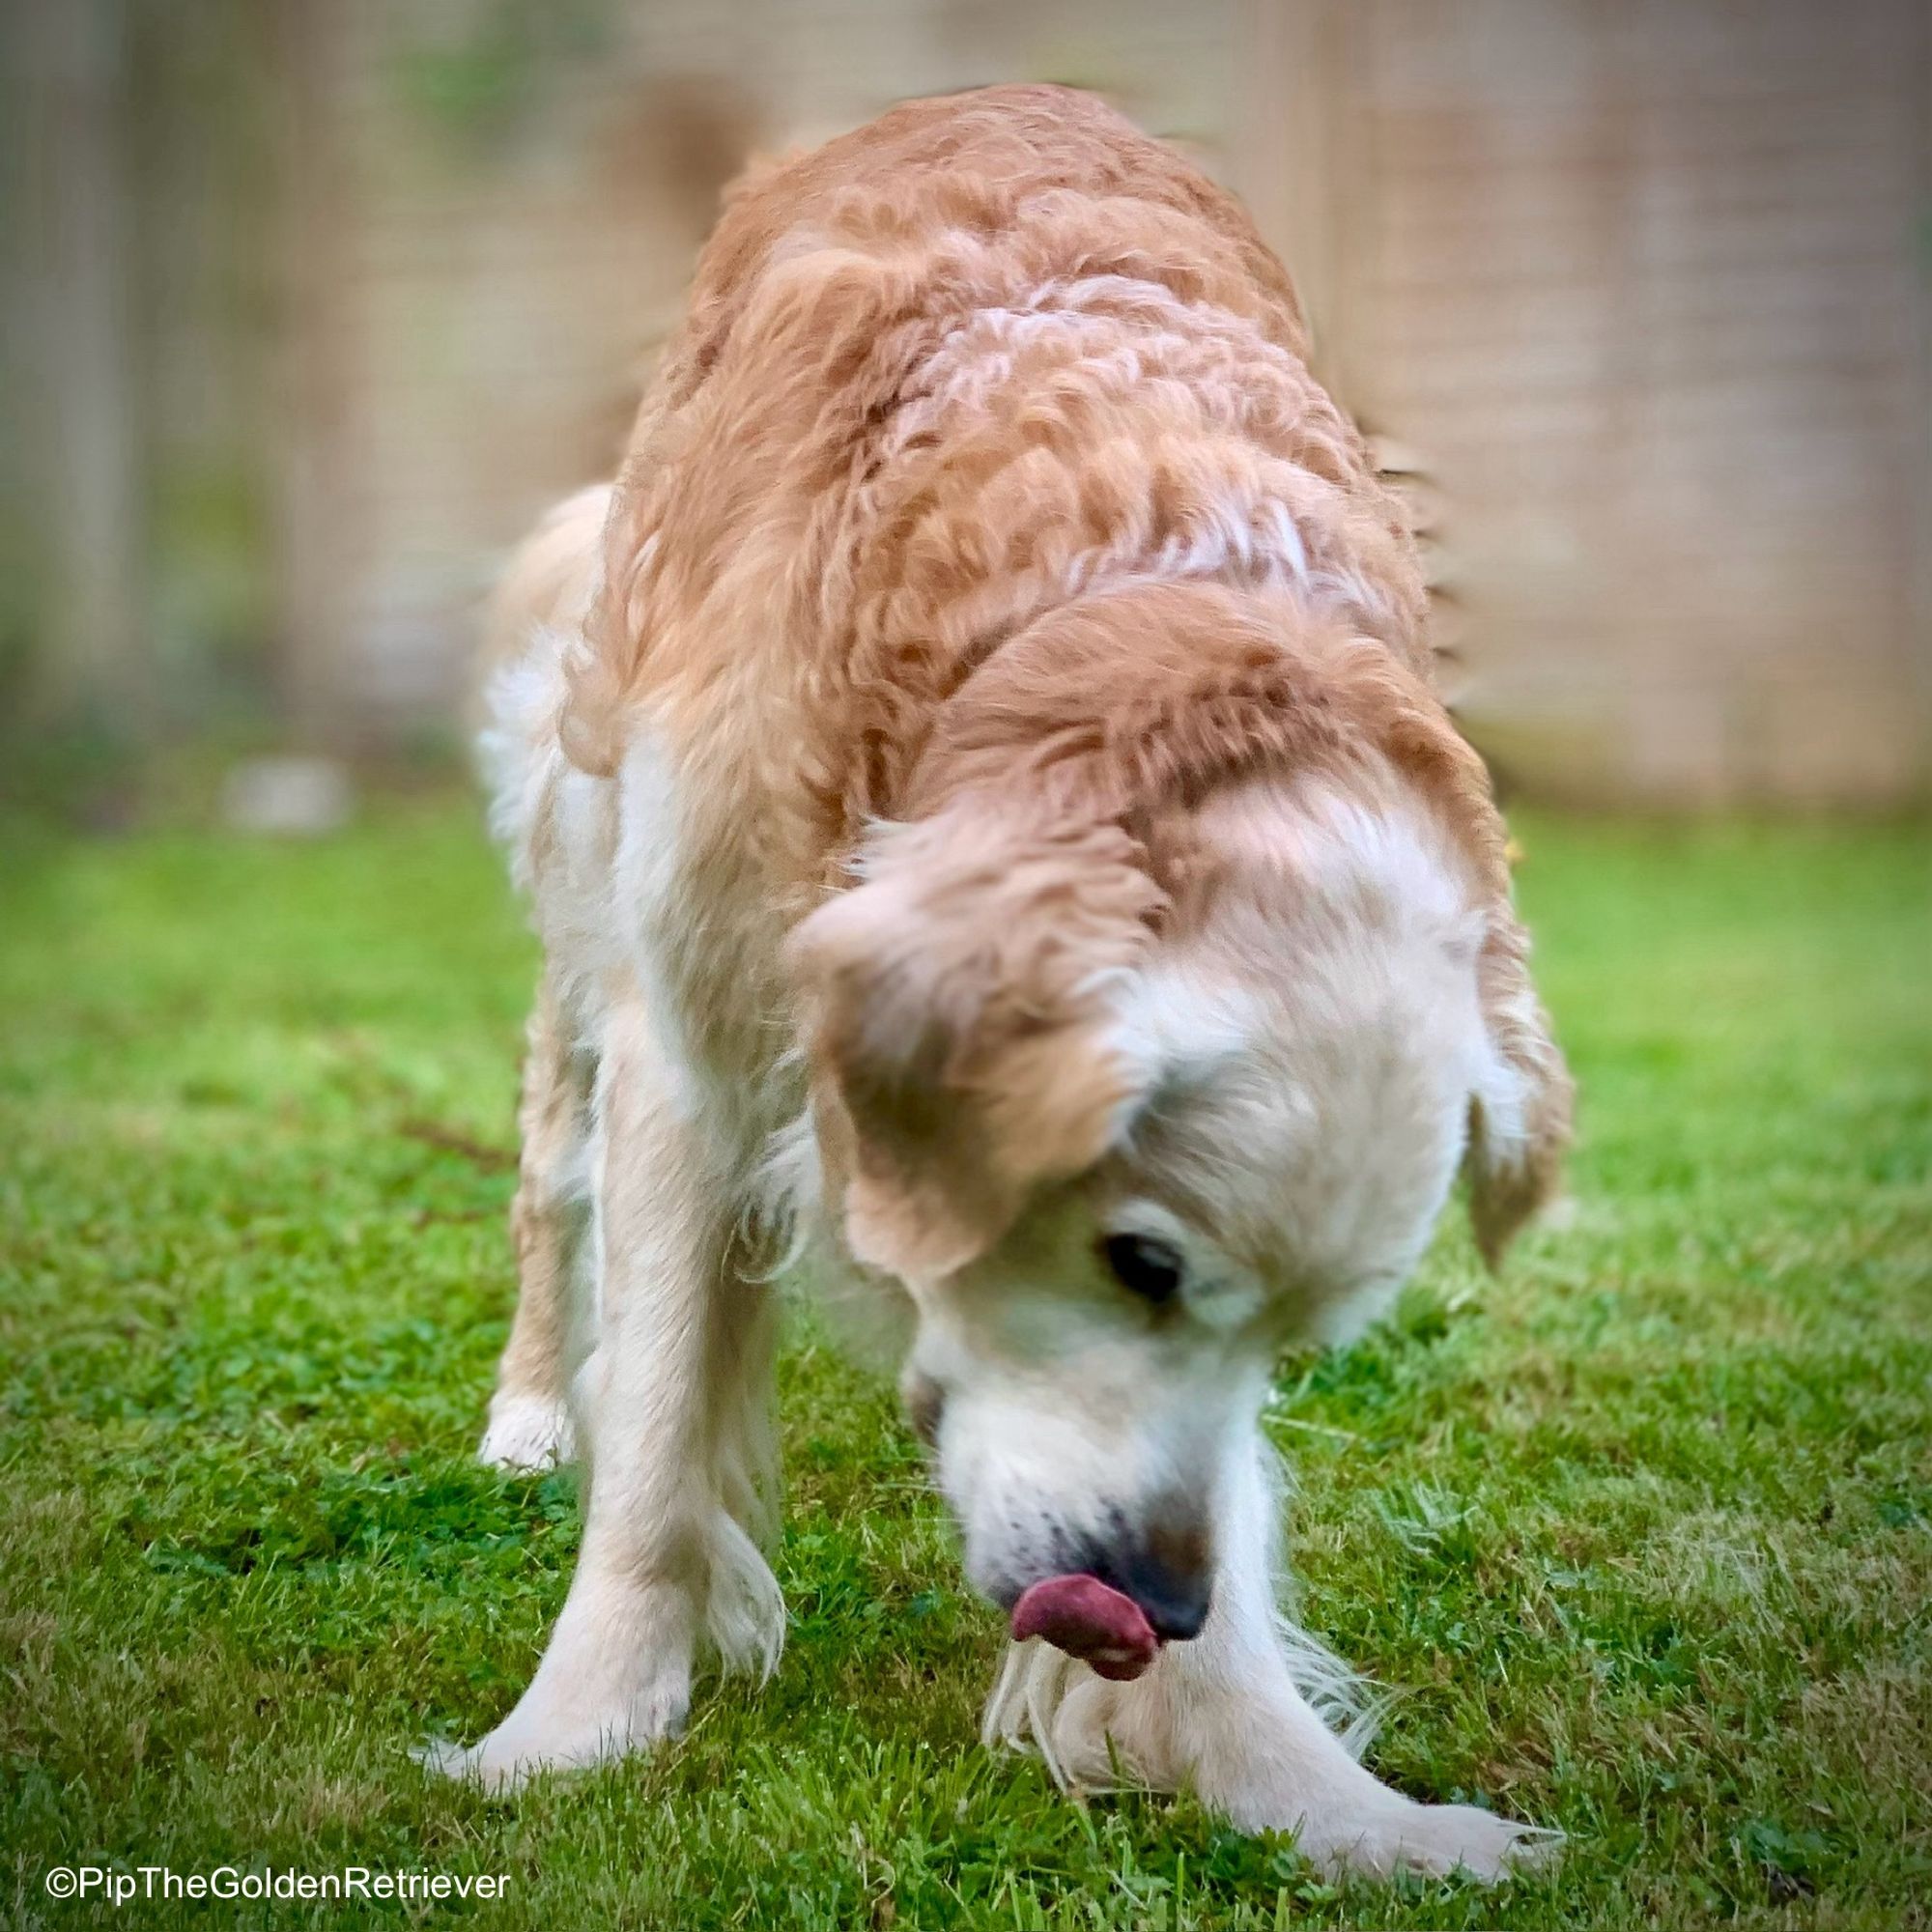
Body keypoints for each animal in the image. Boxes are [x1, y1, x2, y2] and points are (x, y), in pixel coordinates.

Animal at [439, 83, 1569, 1878]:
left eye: (1304, 1338)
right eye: (1141, 1263)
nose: (1155, 1607)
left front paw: (1323, 1800)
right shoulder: (690, 1037)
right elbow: (660, 1430)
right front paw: (571, 1730)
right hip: (584, 905)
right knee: (552, 1190)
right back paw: (535, 1409)